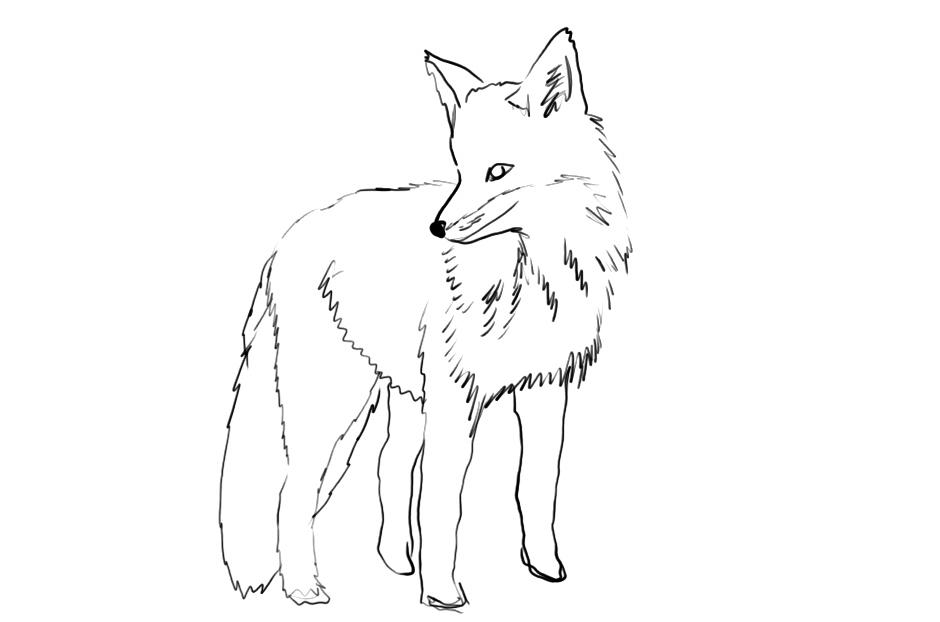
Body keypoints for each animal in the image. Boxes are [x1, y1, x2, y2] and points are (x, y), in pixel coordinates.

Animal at [219, 27, 631, 610]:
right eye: (460, 170)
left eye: (498, 171)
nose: (437, 229)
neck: (533, 274)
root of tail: (284, 242)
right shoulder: (457, 397)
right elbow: (444, 503)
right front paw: (442, 593)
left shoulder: (546, 391)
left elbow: (535, 487)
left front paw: (545, 568)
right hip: (335, 402)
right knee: (293, 491)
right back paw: (303, 586)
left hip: (404, 396)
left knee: (387, 466)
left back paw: (395, 561)